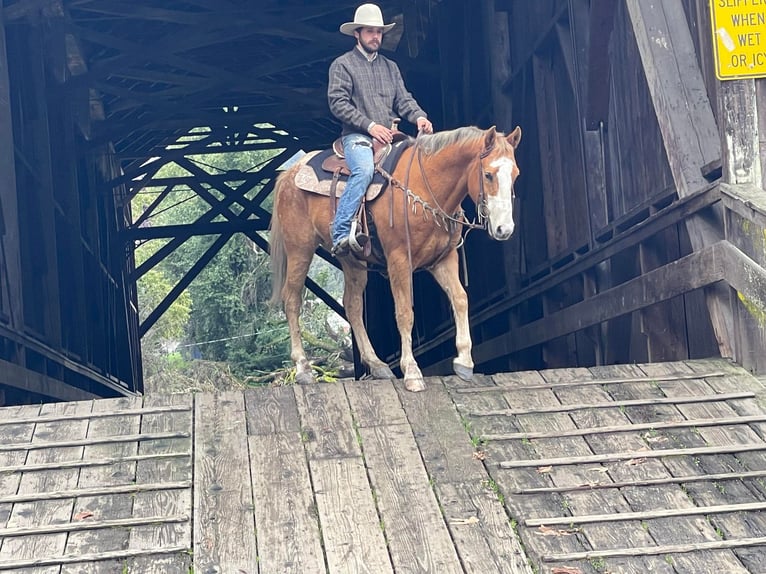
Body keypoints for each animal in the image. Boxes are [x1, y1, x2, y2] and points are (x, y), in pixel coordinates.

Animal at [268, 126, 520, 394]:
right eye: (488, 174)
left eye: (515, 174)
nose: (504, 229)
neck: (426, 188)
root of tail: (288, 175)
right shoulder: (399, 260)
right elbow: (404, 312)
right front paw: (412, 372)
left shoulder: (444, 260)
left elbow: (461, 299)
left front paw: (464, 362)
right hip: (300, 250)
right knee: (292, 300)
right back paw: (303, 369)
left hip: (352, 261)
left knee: (352, 305)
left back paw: (377, 365)